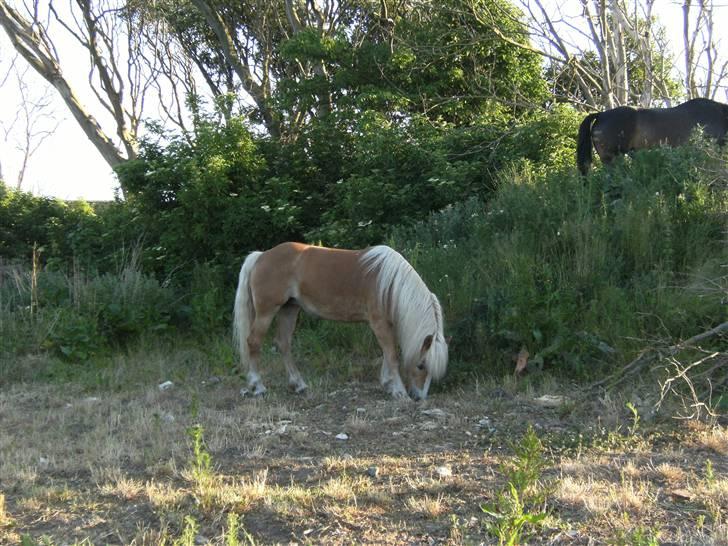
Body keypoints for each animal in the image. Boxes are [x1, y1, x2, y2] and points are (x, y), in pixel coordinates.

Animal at [233, 242, 450, 400]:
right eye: (421, 365)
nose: (420, 397)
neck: (388, 283)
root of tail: (261, 256)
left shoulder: (386, 324)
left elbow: (387, 354)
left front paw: (387, 384)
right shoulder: (379, 323)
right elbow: (392, 356)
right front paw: (398, 391)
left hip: (289, 309)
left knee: (283, 344)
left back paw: (299, 384)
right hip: (266, 312)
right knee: (253, 342)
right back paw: (258, 386)